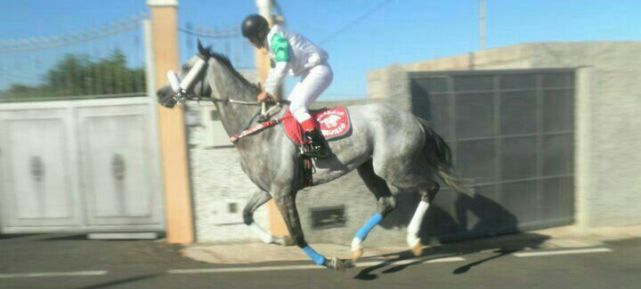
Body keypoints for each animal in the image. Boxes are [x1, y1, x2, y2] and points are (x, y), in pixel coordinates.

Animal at [157, 43, 470, 270]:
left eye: (186, 66)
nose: (161, 93)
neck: (257, 127)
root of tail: (414, 118)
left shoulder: (284, 191)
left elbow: (298, 234)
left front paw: (329, 260)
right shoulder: (267, 189)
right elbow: (246, 215)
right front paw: (275, 239)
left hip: (393, 167)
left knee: (430, 187)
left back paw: (413, 240)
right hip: (368, 168)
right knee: (387, 202)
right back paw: (357, 246)